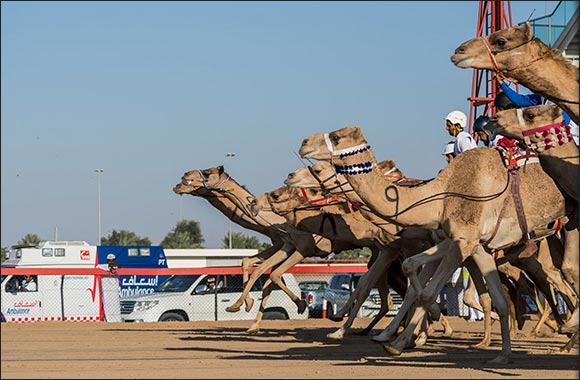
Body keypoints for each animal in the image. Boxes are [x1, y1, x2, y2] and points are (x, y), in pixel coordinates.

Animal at [296, 127, 568, 362]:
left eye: (336, 137)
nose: (303, 143)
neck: (436, 198)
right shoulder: (469, 245)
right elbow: (408, 277)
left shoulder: (456, 244)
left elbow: (426, 291)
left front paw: (403, 339)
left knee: (555, 280)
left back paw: (558, 331)